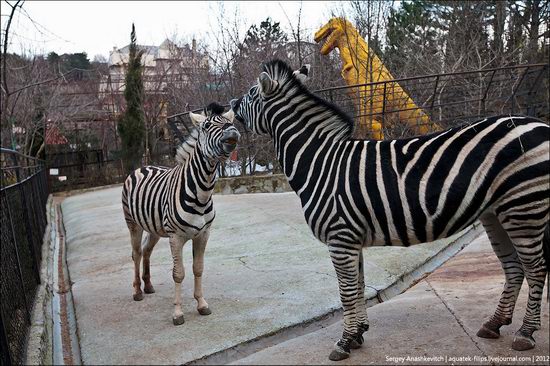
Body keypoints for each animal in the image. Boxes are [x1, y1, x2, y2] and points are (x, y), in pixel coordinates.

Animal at [123, 103, 239, 326]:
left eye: (230, 122)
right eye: (207, 126)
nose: (232, 133)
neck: (202, 193)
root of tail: (144, 166)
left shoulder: (203, 234)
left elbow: (198, 268)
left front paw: (201, 304)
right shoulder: (176, 237)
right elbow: (178, 274)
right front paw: (177, 313)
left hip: (155, 228)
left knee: (146, 251)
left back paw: (148, 286)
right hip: (133, 224)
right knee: (136, 253)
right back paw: (137, 291)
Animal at [231, 59, 548, 360]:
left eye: (250, 93)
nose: (229, 105)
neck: (320, 163)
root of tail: (540, 124)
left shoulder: (340, 236)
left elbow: (346, 291)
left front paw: (344, 342)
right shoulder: (351, 238)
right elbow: (358, 285)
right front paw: (358, 333)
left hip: (524, 206)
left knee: (536, 268)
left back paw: (525, 333)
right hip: (497, 213)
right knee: (514, 268)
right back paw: (494, 324)